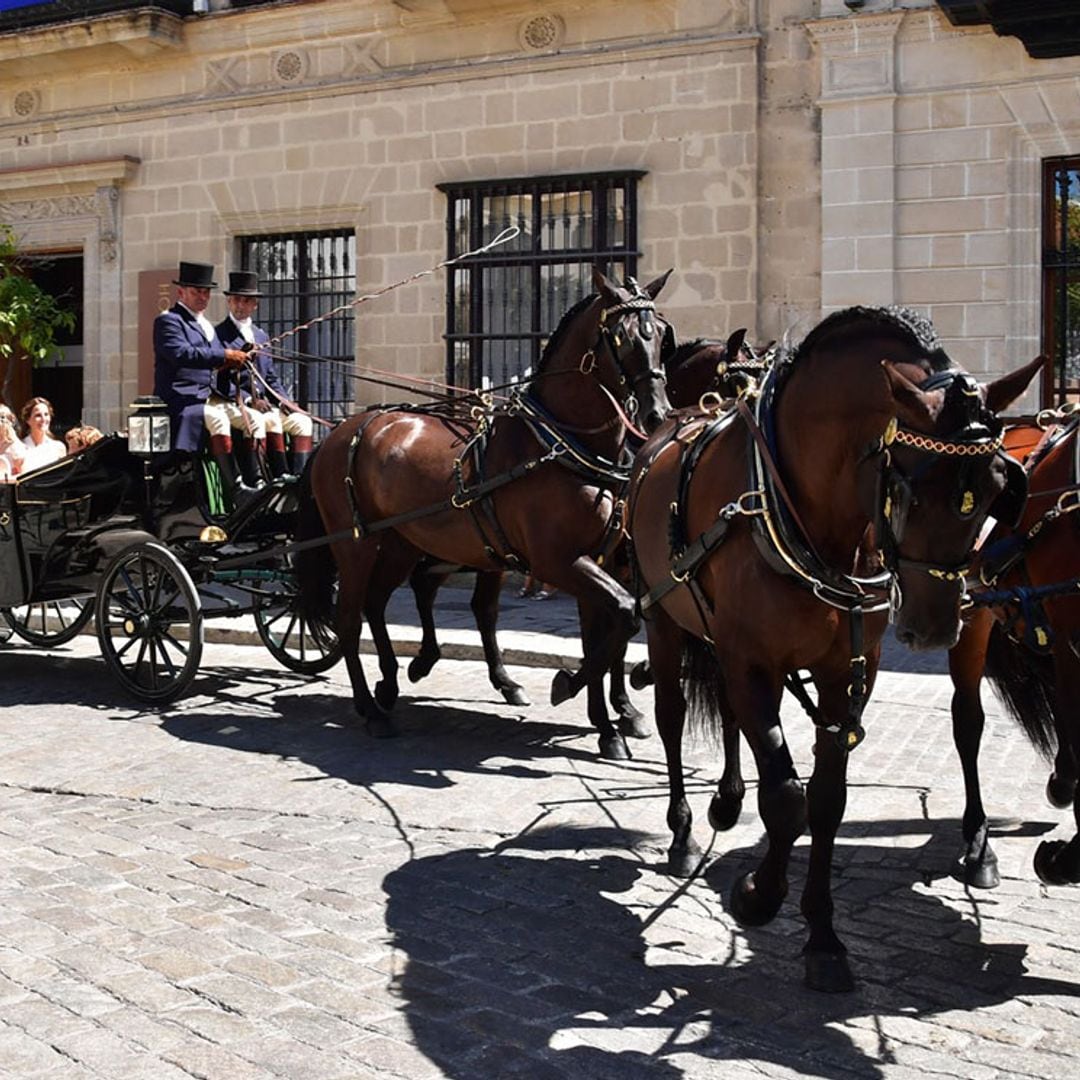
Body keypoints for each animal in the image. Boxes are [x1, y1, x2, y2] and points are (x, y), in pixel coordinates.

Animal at [293, 270, 665, 760]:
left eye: (661, 334)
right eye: (620, 337)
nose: (658, 413)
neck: (560, 444)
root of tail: (342, 431)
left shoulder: (601, 560)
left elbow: (609, 631)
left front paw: (609, 720)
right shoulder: (559, 563)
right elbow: (620, 619)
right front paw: (573, 689)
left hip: (400, 543)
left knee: (380, 602)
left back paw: (391, 683)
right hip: (355, 545)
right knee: (350, 620)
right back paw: (372, 710)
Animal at [626, 306, 1036, 993]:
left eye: (999, 482)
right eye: (907, 482)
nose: (933, 625)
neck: (809, 516)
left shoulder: (846, 671)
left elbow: (825, 801)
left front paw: (821, 934)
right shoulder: (751, 660)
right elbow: (785, 797)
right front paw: (758, 895)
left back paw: (726, 802)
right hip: (663, 617)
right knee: (672, 715)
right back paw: (681, 832)